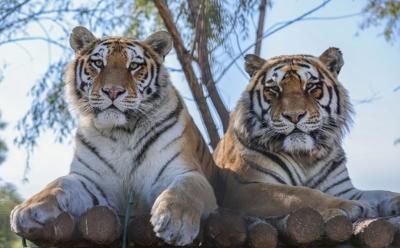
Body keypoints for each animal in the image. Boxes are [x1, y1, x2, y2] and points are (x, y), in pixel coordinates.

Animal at [9, 27, 217, 246]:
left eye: (133, 66)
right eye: (99, 63)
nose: (113, 91)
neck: (123, 132)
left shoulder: (185, 171)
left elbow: (185, 188)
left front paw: (176, 221)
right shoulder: (92, 182)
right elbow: (59, 183)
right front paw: (26, 209)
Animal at [214, 48, 400, 219]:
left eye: (311, 86)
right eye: (274, 89)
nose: (294, 116)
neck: (306, 157)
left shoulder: (343, 189)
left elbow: (380, 192)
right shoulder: (244, 188)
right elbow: (301, 194)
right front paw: (349, 205)